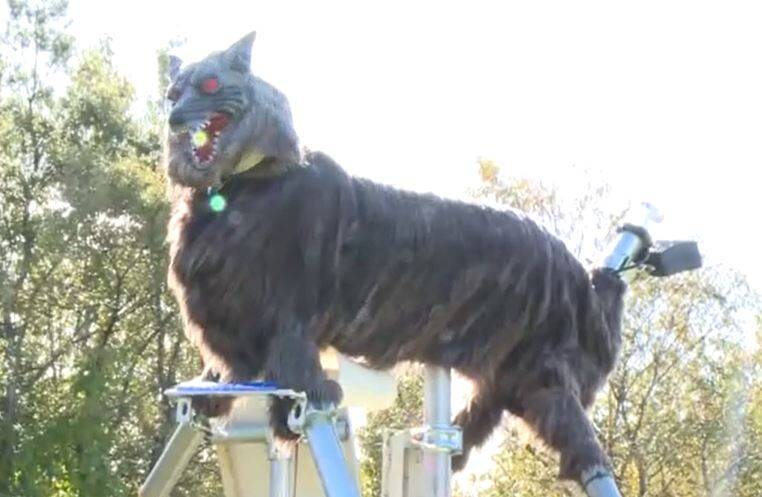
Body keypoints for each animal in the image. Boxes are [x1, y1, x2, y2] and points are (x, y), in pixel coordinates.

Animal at [164, 32, 627, 485]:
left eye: (210, 84)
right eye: (173, 93)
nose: (174, 115)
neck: (240, 186)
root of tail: (577, 274)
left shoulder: (289, 313)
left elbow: (295, 365)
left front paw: (312, 396)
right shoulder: (228, 318)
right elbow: (228, 369)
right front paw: (212, 393)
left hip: (543, 374)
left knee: (576, 435)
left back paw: (591, 466)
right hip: (505, 375)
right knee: (480, 418)